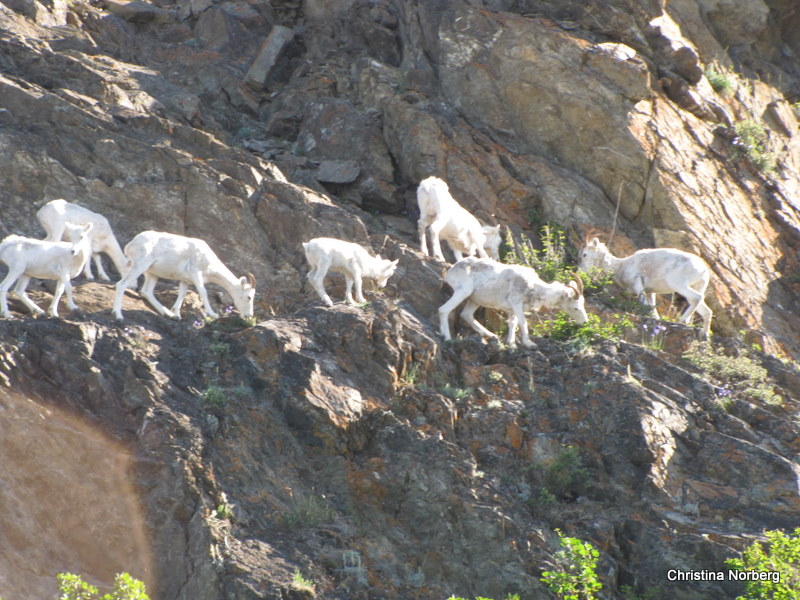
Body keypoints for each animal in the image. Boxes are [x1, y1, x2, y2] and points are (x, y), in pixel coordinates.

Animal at [112, 231, 255, 324]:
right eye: (249, 297)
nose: (249, 315)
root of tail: (131, 244)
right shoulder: (196, 273)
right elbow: (203, 292)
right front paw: (212, 314)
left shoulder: (184, 280)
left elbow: (182, 294)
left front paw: (176, 315)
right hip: (140, 266)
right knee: (122, 284)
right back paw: (118, 316)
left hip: (151, 273)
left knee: (146, 291)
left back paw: (167, 313)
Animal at [438, 256, 588, 350]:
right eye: (576, 308)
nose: (585, 322)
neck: (532, 287)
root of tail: (451, 270)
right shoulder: (516, 303)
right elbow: (523, 322)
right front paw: (529, 344)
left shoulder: (511, 310)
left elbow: (513, 324)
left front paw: (512, 345)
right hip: (462, 292)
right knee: (444, 310)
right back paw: (447, 338)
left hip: (474, 300)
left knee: (466, 315)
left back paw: (490, 335)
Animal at [576, 236, 712, 338]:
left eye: (584, 255)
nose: (580, 272)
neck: (619, 266)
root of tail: (704, 269)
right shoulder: (650, 292)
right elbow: (652, 309)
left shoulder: (638, 283)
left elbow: (645, 305)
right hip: (697, 286)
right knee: (707, 311)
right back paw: (704, 335)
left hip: (678, 284)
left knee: (696, 298)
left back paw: (683, 320)